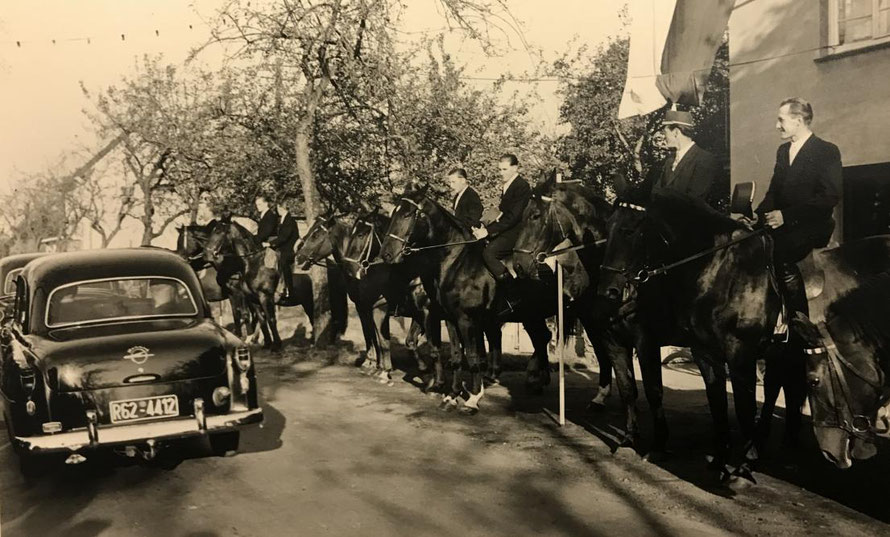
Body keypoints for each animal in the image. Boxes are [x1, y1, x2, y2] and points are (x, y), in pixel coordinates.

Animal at [204, 219, 280, 352]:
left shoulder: (264, 296)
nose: (207, 254)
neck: (254, 264)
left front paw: (276, 345)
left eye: (218, 232)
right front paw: (267, 343)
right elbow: (261, 319)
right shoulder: (252, 298)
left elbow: (270, 319)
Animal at [294, 209, 440, 386]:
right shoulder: (363, 308)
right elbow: (370, 336)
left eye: (315, 235)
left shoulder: (377, 310)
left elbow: (381, 340)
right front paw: (372, 365)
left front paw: (383, 371)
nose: (298, 257)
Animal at [376, 182, 560, 412]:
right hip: (531, 315)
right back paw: (536, 380)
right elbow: (456, 357)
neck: (457, 263)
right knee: (541, 338)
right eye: (394, 213)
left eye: (408, 214)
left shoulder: (464, 319)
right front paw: (452, 395)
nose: (386, 254)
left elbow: (470, 356)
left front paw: (472, 397)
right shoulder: (450, 319)